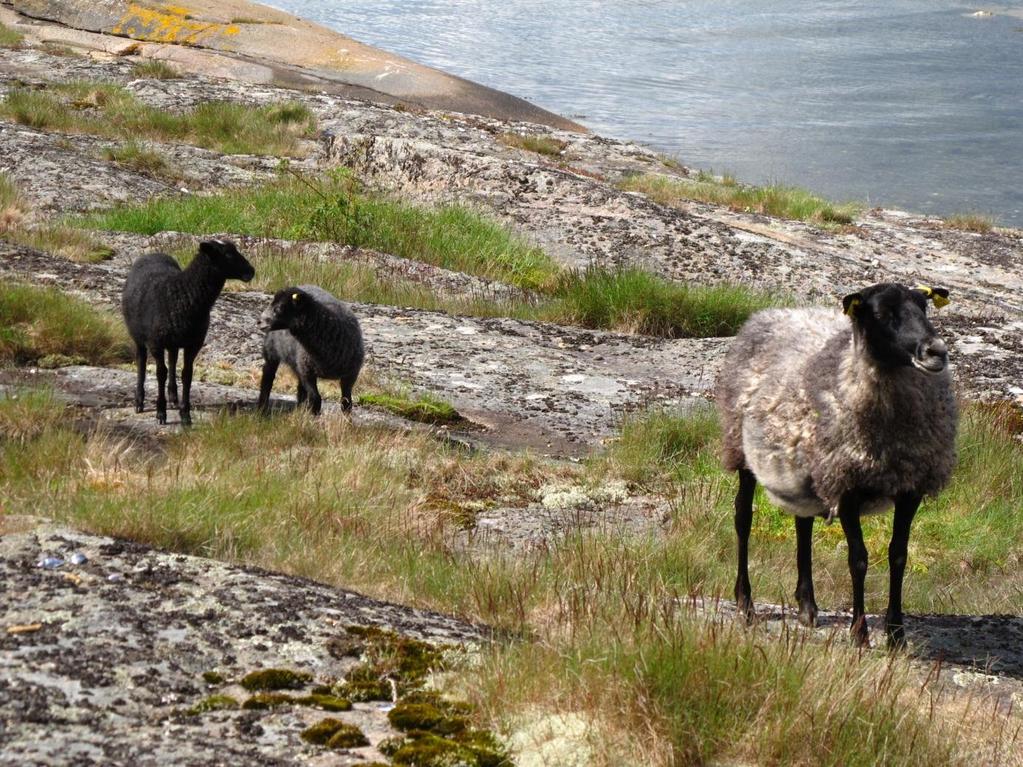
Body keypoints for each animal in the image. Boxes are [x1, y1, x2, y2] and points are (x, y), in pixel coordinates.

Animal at [120, 240, 254, 427]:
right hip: (139, 335)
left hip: (174, 341)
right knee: (142, 362)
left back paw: (173, 397)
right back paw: (139, 402)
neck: (183, 296)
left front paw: (185, 414)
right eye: (227, 254)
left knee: (172, 360)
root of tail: (151, 254)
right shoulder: (156, 342)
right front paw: (161, 413)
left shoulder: (194, 344)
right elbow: (160, 374)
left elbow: (187, 375)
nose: (251, 271)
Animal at [257, 284, 366, 415]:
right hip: (272, 351)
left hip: (298, 363)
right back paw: (262, 408)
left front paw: (347, 420)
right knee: (267, 378)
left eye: (279, 307)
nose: (259, 321)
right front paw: (313, 417)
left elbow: (346, 402)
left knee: (300, 389)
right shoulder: (307, 373)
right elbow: (316, 398)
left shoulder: (351, 375)